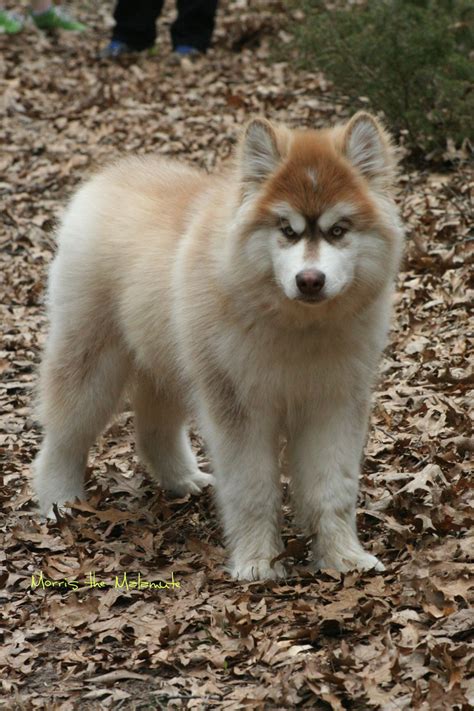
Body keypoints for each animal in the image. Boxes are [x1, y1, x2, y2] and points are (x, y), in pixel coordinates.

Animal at [33, 111, 404, 580]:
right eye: (287, 229)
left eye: (338, 230)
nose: (310, 280)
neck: (297, 326)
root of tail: (111, 176)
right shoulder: (239, 411)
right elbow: (253, 490)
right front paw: (258, 561)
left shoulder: (333, 406)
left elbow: (332, 489)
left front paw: (343, 557)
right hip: (91, 365)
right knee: (64, 437)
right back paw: (58, 502)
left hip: (173, 369)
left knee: (154, 431)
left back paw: (183, 479)